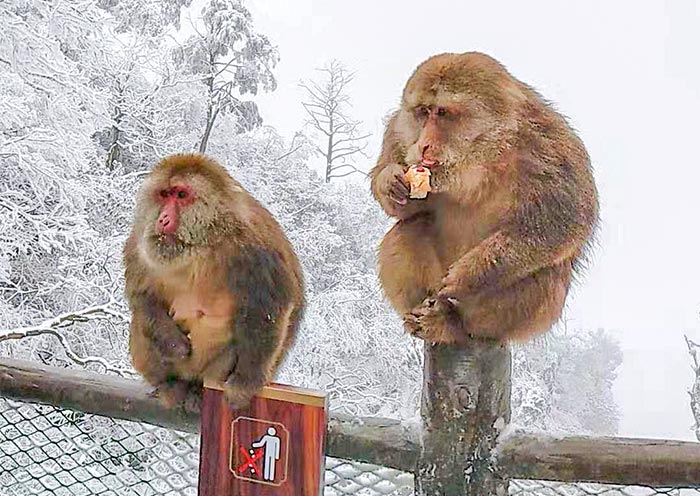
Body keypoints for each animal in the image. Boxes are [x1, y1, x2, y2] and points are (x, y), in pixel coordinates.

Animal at [123, 153, 305, 409]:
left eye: (181, 195)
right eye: (164, 194)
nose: (163, 218)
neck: (204, 244)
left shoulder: (257, 252)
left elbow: (268, 311)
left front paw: (244, 384)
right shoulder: (139, 245)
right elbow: (141, 295)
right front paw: (174, 343)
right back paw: (171, 384)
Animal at [370, 52, 598, 344]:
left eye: (443, 113)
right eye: (423, 111)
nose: (423, 145)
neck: (482, 158)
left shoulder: (550, 149)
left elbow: (565, 223)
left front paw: (470, 275)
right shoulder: (398, 132)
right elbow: (405, 209)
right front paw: (389, 181)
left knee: (544, 271)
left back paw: (455, 323)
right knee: (408, 228)